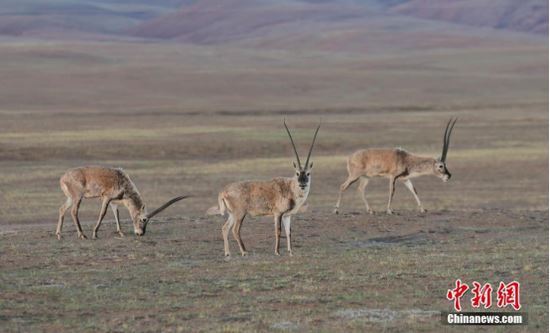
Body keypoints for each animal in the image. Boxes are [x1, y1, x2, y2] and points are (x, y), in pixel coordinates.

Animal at [56, 166, 190, 239]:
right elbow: (103, 213)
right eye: (144, 219)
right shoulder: (106, 197)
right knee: (74, 211)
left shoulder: (114, 201)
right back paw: (82, 235)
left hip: (71, 198)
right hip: (78, 197)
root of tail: (63, 178)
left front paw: (121, 233)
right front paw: (95, 233)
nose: (140, 233)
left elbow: (117, 213)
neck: (122, 180)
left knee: (62, 209)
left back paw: (59, 235)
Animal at [207, 120, 322, 255]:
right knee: (235, 230)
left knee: (225, 228)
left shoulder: (287, 215)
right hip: (239, 214)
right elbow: (278, 231)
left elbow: (289, 232)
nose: (302, 184)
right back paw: (244, 252)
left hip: (232, 214)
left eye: (308, 173)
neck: (290, 187)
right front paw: (277, 251)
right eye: (297, 173)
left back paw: (228, 253)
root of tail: (223, 191)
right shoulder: (278, 214)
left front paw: (291, 252)